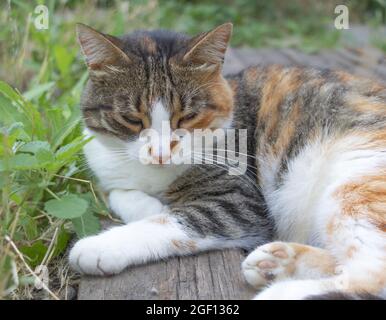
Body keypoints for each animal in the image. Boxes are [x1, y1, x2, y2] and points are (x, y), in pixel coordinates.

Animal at [69, 23, 386, 300]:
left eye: (188, 117)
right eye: (132, 119)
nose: (160, 153)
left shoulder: (239, 202)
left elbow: (172, 222)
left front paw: (102, 245)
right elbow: (117, 193)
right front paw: (151, 205)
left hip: (356, 183)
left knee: (371, 275)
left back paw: (279, 291)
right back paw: (276, 263)